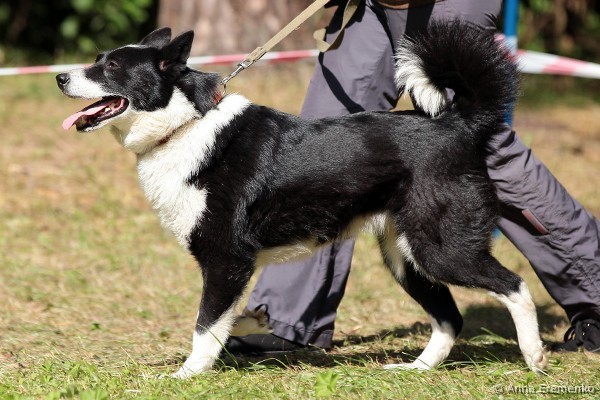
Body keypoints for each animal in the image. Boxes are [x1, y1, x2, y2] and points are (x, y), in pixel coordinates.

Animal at [56, 20, 548, 378]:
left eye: (112, 67)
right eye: (97, 61)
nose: (60, 76)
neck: (183, 126)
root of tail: (457, 123)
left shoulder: (226, 260)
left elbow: (204, 325)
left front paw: (186, 376)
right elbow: (218, 322)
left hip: (440, 249)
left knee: (514, 285)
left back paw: (534, 357)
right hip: (405, 256)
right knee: (449, 318)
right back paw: (416, 369)